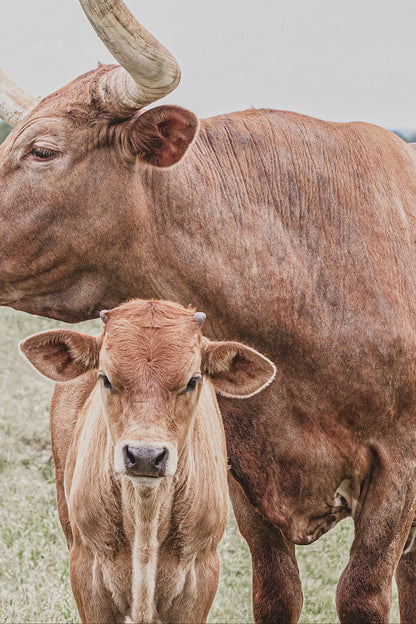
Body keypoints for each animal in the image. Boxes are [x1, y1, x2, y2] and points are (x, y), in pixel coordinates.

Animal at [19, 298, 274, 624]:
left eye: (193, 380)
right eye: (105, 378)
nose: (144, 456)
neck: (146, 513)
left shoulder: (201, 576)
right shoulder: (86, 572)